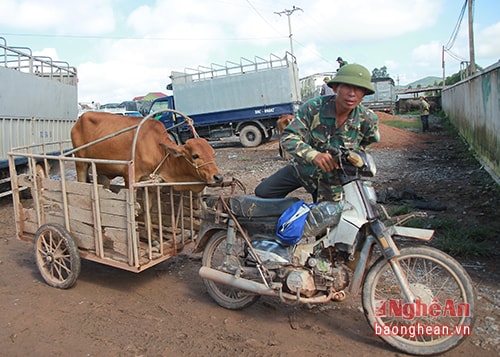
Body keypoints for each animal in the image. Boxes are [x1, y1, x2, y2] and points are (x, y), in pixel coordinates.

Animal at [71, 112, 223, 193]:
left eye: (213, 153)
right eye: (195, 155)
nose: (218, 177)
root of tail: (80, 119)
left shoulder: (149, 182)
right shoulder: (130, 178)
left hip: (102, 169)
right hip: (80, 163)